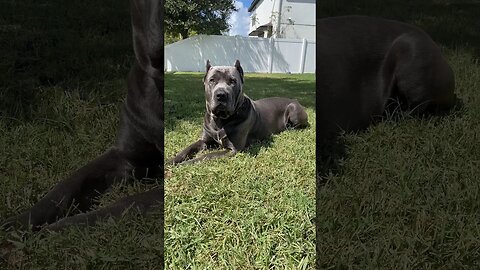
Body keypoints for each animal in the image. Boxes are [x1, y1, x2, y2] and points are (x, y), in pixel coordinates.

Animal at [167, 59, 308, 165]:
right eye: (212, 80)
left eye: (233, 81)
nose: (221, 94)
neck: (220, 121)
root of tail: (295, 100)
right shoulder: (204, 141)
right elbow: (187, 149)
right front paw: (172, 161)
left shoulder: (232, 149)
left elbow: (206, 156)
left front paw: (186, 164)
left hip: (293, 110)